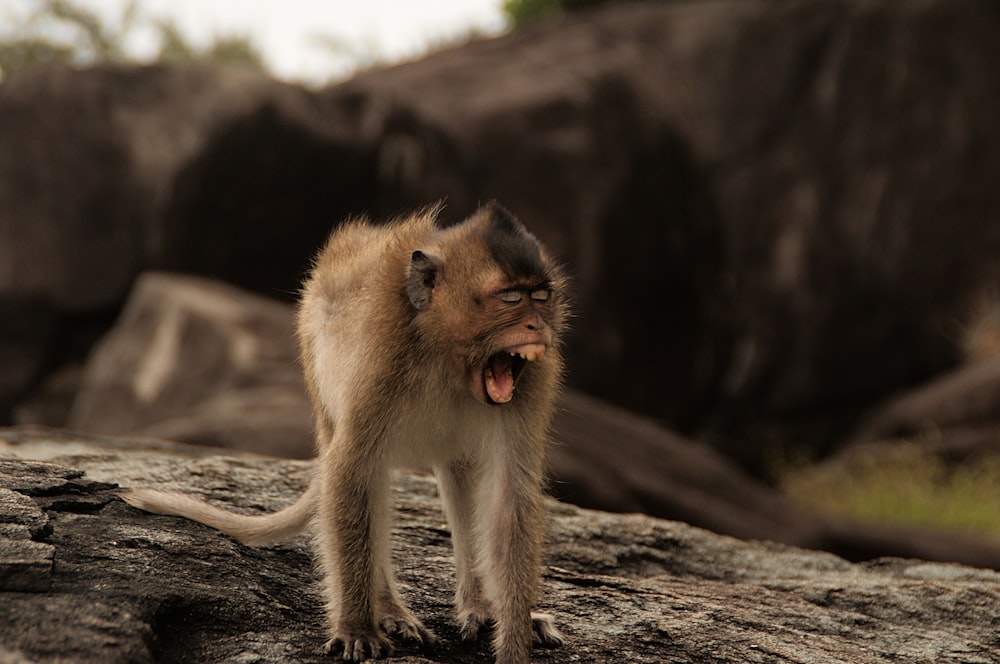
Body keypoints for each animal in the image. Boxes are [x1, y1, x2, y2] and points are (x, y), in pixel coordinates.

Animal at [119, 204, 572, 664]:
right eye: (511, 298)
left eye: (541, 297)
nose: (537, 327)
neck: (447, 351)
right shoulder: (383, 357)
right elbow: (352, 471)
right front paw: (357, 627)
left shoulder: (532, 380)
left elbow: (510, 498)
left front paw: (514, 637)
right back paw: (388, 608)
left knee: (458, 473)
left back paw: (480, 605)